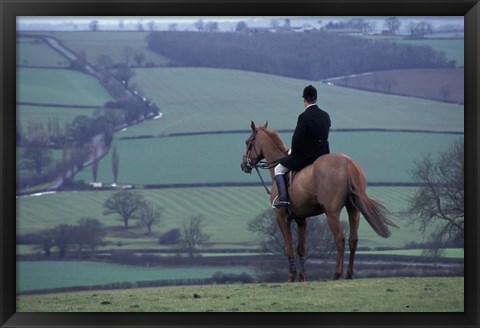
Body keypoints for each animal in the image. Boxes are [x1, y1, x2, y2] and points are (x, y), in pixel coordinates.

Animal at [240, 121, 398, 280]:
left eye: (247, 142)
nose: (243, 165)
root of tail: (347, 163)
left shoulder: (281, 217)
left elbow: (289, 247)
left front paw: (291, 277)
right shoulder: (301, 219)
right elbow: (301, 248)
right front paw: (302, 277)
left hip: (331, 213)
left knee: (339, 239)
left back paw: (336, 274)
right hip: (354, 210)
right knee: (353, 240)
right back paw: (349, 274)